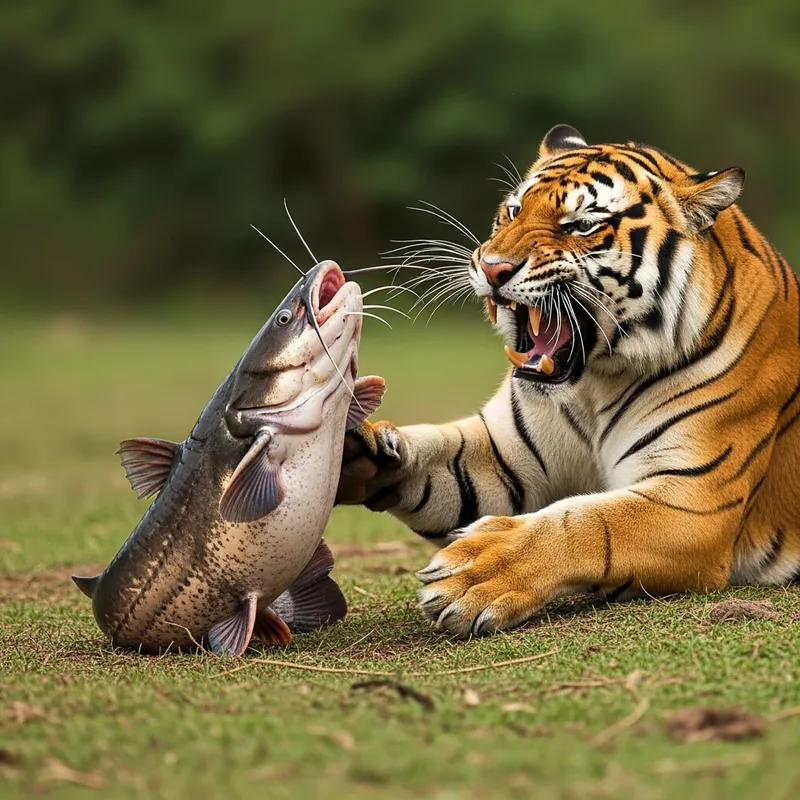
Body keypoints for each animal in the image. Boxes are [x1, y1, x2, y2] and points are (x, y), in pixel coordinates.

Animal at [336, 124, 800, 638]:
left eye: (580, 225)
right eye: (513, 210)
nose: (492, 266)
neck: (597, 382)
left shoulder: (694, 500)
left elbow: (588, 521)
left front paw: (474, 572)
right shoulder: (503, 459)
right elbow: (434, 451)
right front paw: (356, 445)